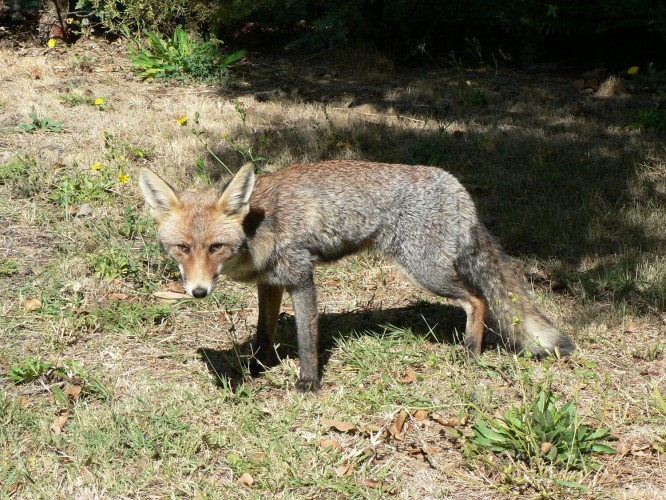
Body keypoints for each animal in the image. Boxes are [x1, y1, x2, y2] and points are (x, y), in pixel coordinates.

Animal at [139, 162, 572, 392]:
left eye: (215, 247)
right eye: (182, 248)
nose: (198, 292)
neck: (259, 226)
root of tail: (457, 186)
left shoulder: (302, 278)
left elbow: (306, 338)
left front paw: (309, 383)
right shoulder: (270, 283)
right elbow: (264, 334)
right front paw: (256, 369)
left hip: (426, 271)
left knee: (477, 299)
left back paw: (470, 352)